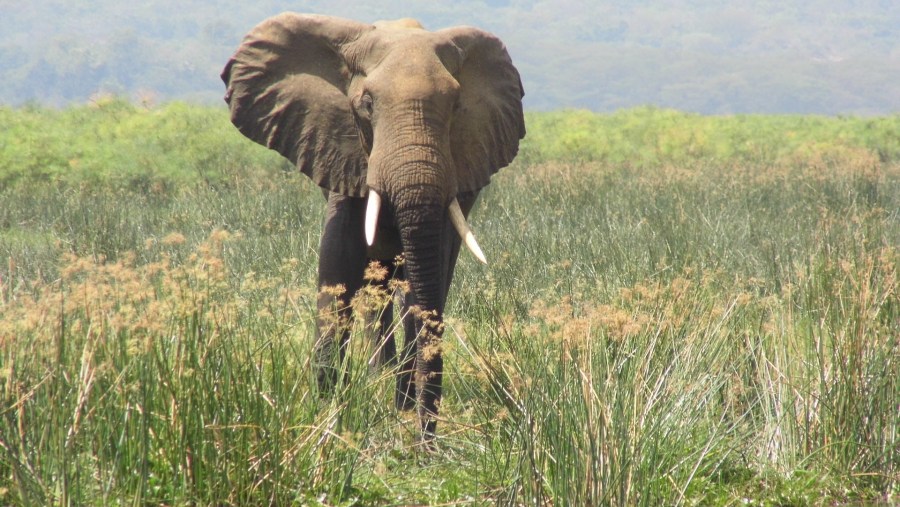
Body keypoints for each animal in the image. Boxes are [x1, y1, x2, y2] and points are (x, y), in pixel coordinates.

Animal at [221, 11, 524, 440]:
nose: (426, 443)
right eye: (366, 104)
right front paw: (329, 415)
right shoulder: (341, 153)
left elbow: (424, 283)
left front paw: (399, 411)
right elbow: (337, 267)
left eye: (456, 105)